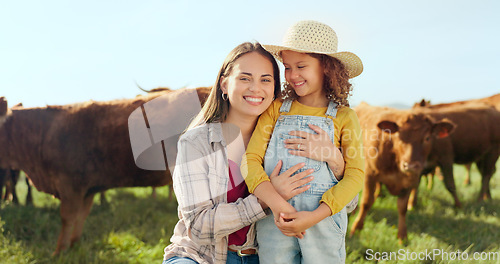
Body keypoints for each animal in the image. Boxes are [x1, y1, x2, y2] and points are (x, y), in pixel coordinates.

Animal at [0, 87, 209, 256]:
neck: (45, 132)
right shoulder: (87, 190)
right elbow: (81, 217)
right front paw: (74, 246)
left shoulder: (70, 186)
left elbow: (67, 218)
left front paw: (58, 252)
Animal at [350, 101, 456, 241]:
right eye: (399, 137)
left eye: (427, 138)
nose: (410, 166)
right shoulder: (370, 174)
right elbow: (366, 202)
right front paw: (356, 228)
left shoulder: (410, 181)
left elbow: (402, 207)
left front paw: (402, 235)